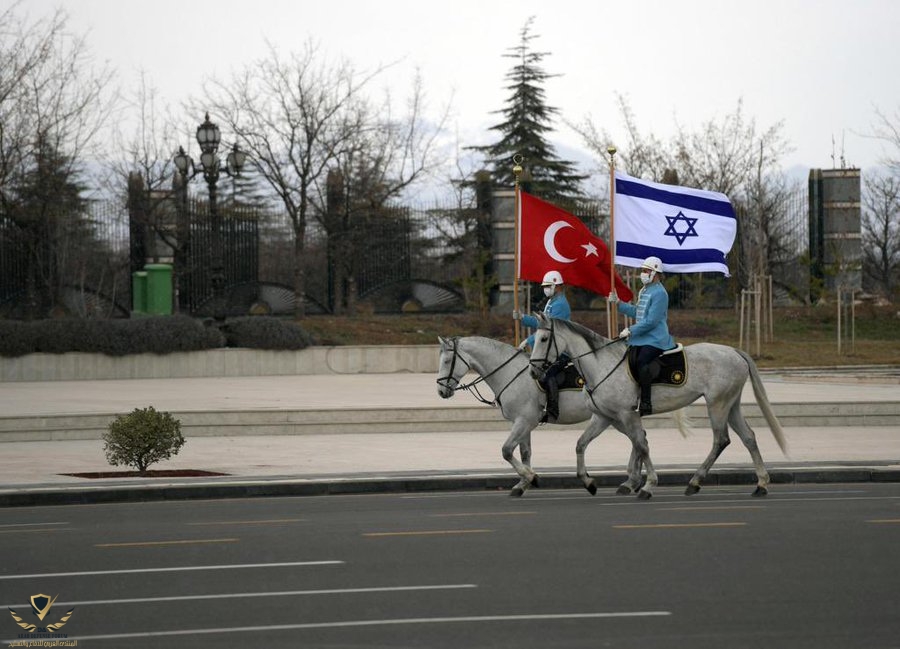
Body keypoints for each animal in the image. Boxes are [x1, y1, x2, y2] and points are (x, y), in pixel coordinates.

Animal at [527, 314, 788, 499]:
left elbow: (641, 445)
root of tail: (734, 351)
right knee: (749, 437)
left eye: (543, 339)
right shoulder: (604, 416)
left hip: (718, 403)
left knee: (721, 439)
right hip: (731, 404)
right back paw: (761, 484)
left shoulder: (627, 414)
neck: (600, 365)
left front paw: (648, 485)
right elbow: (582, 444)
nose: (533, 371)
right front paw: (589, 482)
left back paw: (695, 481)